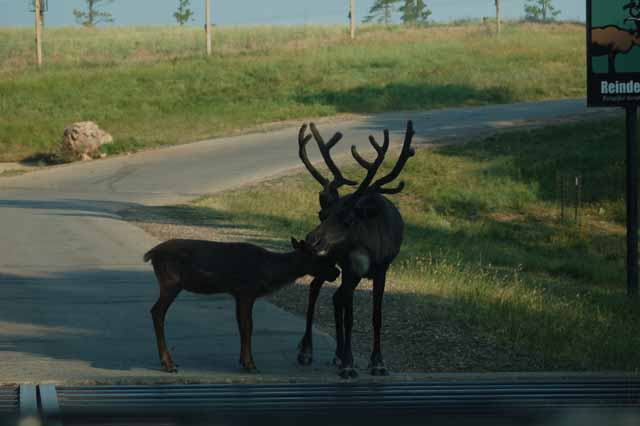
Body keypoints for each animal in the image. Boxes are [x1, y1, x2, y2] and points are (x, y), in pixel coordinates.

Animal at [142, 238, 338, 374]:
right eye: (317, 257)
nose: (337, 271)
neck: (270, 272)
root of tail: (151, 254)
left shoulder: (238, 294)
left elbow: (242, 326)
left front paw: (244, 361)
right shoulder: (246, 292)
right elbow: (248, 327)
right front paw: (250, 364)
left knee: (156, 311)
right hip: (171, 282)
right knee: (157, 312)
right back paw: (168, 363)